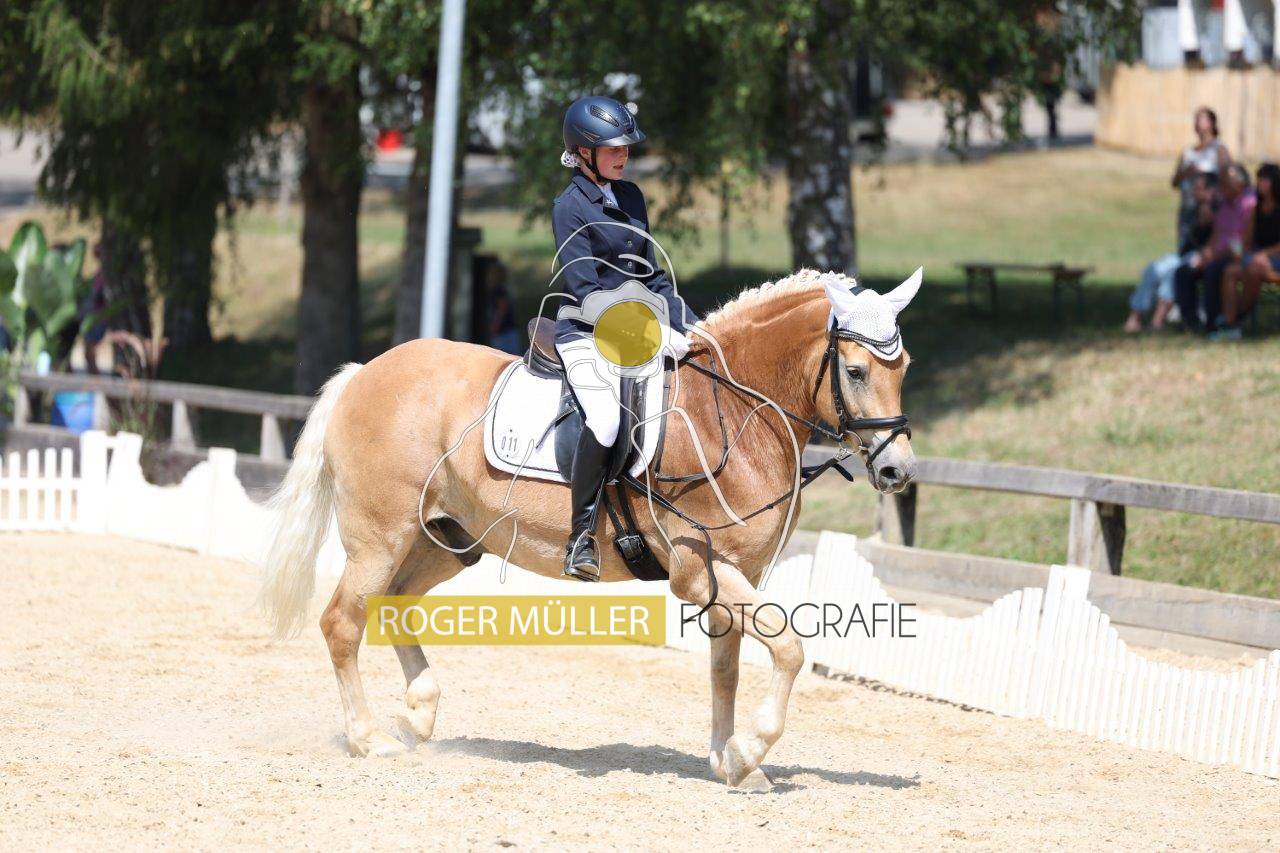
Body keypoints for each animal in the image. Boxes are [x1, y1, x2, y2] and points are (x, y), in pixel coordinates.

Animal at [260, 267, 920, 787]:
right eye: (856, 372)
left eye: (903, 367)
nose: (898, 470)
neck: (735, 413)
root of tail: (363, 373)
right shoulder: (696, 572)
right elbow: (788, 646)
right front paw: (752, 748)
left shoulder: (734, 574)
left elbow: (726, 667)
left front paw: (731, 761)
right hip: (382, 538)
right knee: (342, 622)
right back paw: (368, 739)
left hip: (448, 540)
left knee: (394, 605)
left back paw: (418, 715)